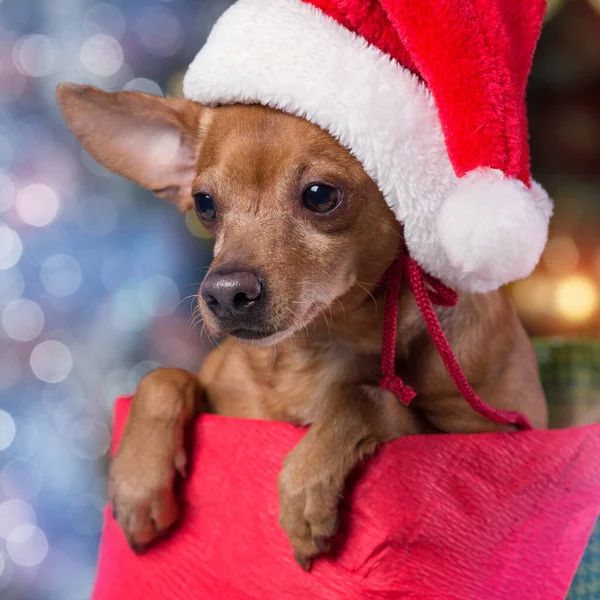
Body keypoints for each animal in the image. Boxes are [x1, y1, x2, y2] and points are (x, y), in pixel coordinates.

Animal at [56, 83, 548, 568]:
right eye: (204, 204)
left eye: (319, 196)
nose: (224, 293)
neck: (318, 345)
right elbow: (163, 378)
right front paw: (137, 480)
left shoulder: (486, 437)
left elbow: (364, 395)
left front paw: (305, 484)